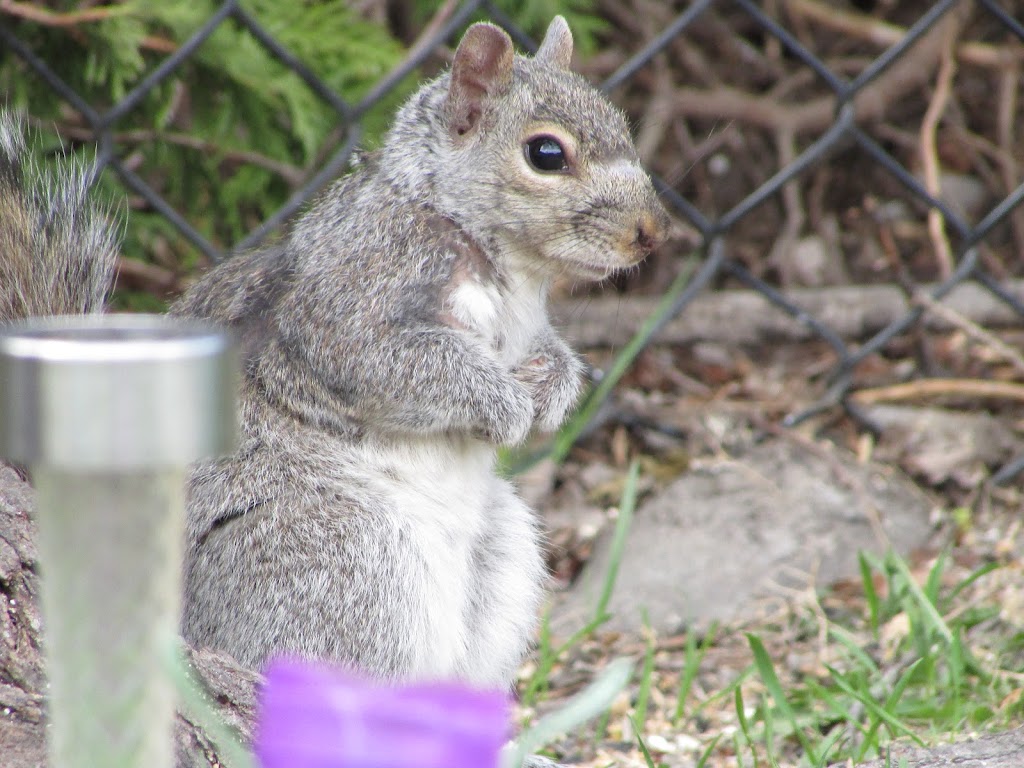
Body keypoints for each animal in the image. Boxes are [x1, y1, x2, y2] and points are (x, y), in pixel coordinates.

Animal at [0, 16, 667, 692]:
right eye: (546, 154)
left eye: (621, 122)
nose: (653, 232)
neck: (510, 267)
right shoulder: (354, 296)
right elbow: (398, 364)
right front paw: (506, 405)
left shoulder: (529, 327)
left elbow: (551, 351)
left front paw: (550, 389)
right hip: (340, 559)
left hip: (498, 562)